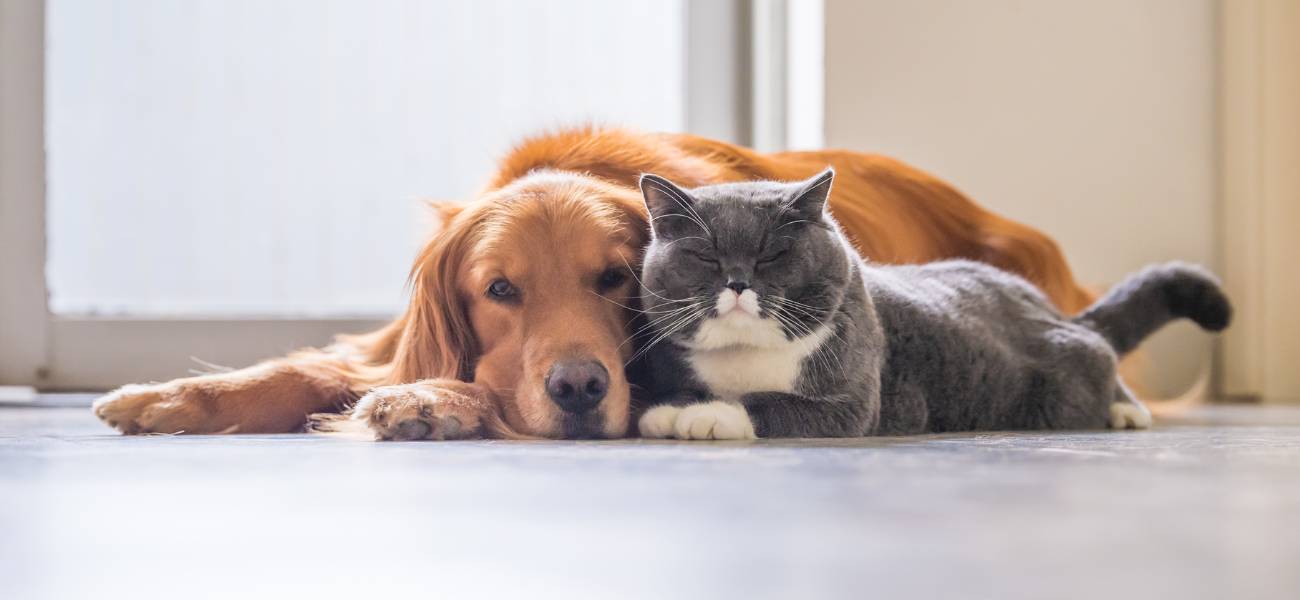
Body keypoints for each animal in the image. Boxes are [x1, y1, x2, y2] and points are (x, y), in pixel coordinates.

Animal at [91, 126, 1092, 438]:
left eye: (614, 278)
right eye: (499, 292)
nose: (578, 388)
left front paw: (433, 403)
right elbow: (307, 368)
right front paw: (167, 398)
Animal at [634, 168, 1232, 441]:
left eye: (772, 254)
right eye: (706, 257)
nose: (738, 282)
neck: (745, 355)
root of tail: (1045, 306)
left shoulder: (852, 402)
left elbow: (767, 403)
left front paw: (703, 416)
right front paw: (671, 408)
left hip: (1066, 373)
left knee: (1100, 353)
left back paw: (1127, 410)